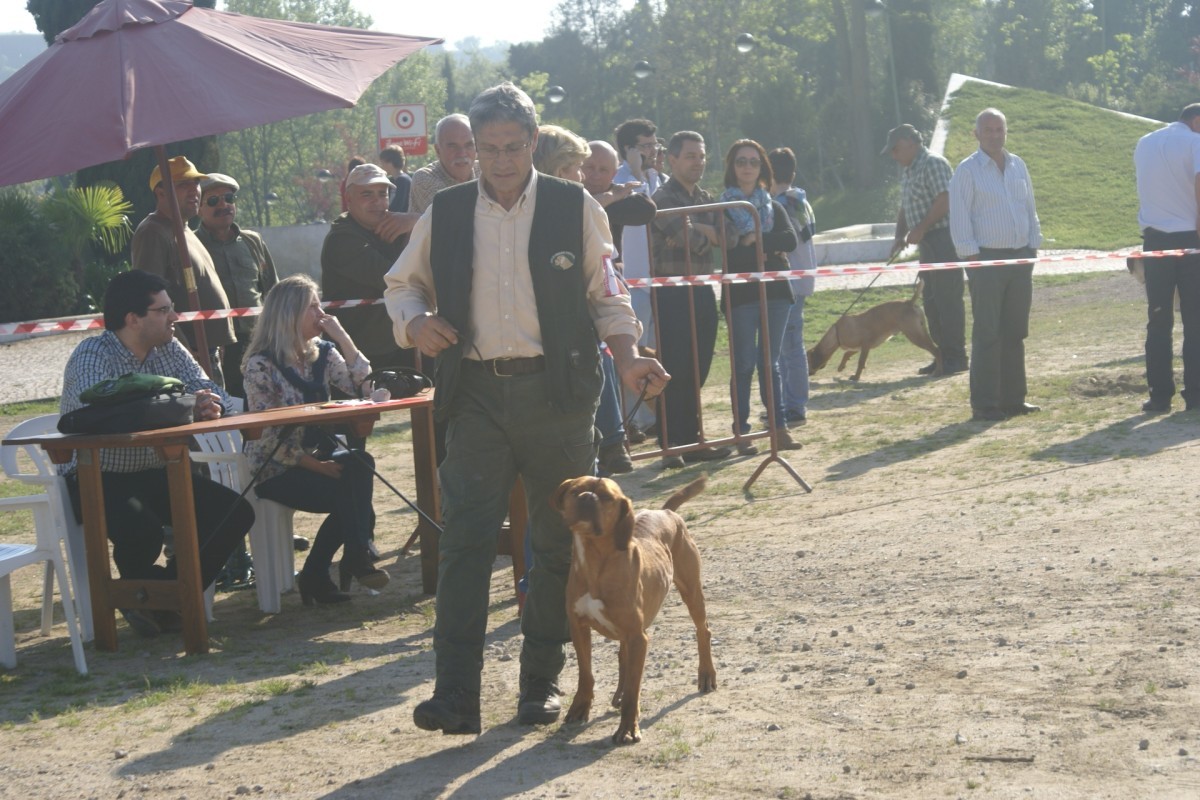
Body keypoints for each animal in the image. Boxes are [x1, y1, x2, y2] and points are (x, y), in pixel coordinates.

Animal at [552, 475, 716, 744]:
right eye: (576, 490)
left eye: (606, 497)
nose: (588, 497)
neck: (595, 561)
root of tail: (666, 511)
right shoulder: (579, 629)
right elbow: (586, 674)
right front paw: (580, 708)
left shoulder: (638, 636)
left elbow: (633, 690)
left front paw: (628, 728)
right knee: (623, 658)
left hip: (691, 592)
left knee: (703, 631)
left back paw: (706, 675)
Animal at [807, 280, 941, 381]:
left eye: (808, 362)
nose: (807, 374)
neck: (837, 332)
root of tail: (908, 302)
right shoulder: (860, 347)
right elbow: (847, 354)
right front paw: (841, 366)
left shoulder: (865, 346)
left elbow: (860, 362)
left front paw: (856, 377)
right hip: (921, 332)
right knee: (936, 348)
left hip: (915, 335)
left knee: (936, 350)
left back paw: (937, 372)